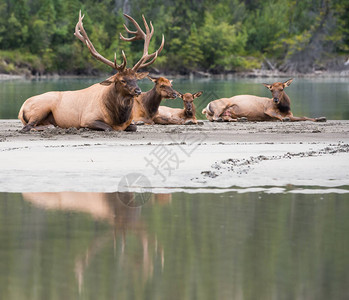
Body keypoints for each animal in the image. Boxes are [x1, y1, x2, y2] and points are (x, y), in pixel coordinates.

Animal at [19, 11, 164, 132]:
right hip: (40, 108)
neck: (118, 117)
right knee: (27, 127)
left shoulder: (129, 122)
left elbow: (134, 127)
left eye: (136, 79)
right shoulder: (88, 118)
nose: (138, 91)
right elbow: (109, 128)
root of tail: (21, 108)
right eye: (122, 80)